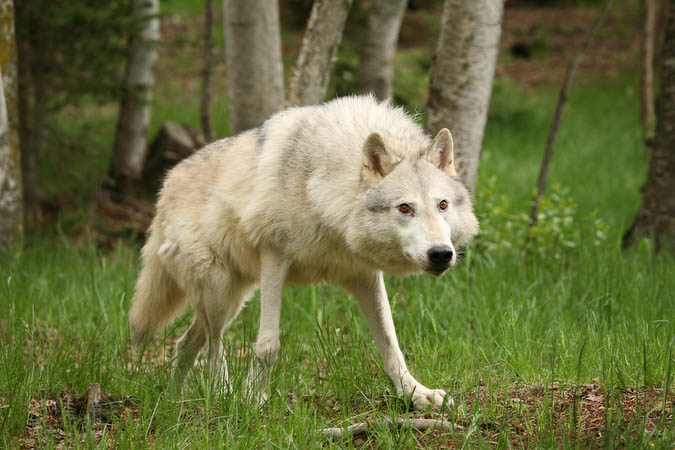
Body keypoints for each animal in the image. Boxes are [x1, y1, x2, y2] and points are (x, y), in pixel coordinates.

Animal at [129, 96, 478, 410]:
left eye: (442, 205)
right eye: (405, 208)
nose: (440, 254)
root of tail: (166, 185)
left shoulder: (364, 275)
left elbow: (391, 343)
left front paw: (415, 394)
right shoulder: (274, 257)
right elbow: (267, 344)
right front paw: (252, 399)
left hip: (231, 299)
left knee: (185, 343)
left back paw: (174, 397)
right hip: (218, 291)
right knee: (214, 347)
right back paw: (223, 394)